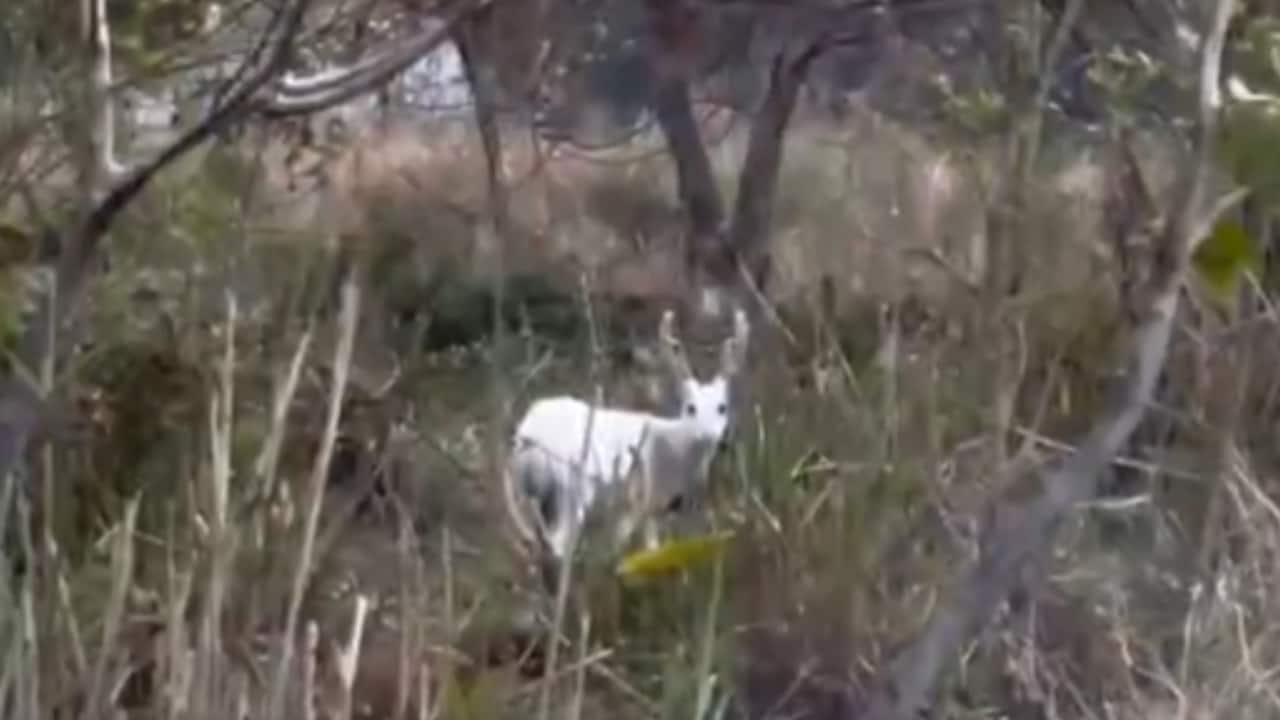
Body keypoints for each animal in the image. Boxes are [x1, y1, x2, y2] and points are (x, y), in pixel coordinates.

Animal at [503, 307, 751, 569]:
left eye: (722, 407)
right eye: (690, 408)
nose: (715, 438)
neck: (674, 447)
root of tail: (528, 439)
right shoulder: (642, 501)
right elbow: (645, 548)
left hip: (525, 492)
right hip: (570, 488)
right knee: (558, 544)